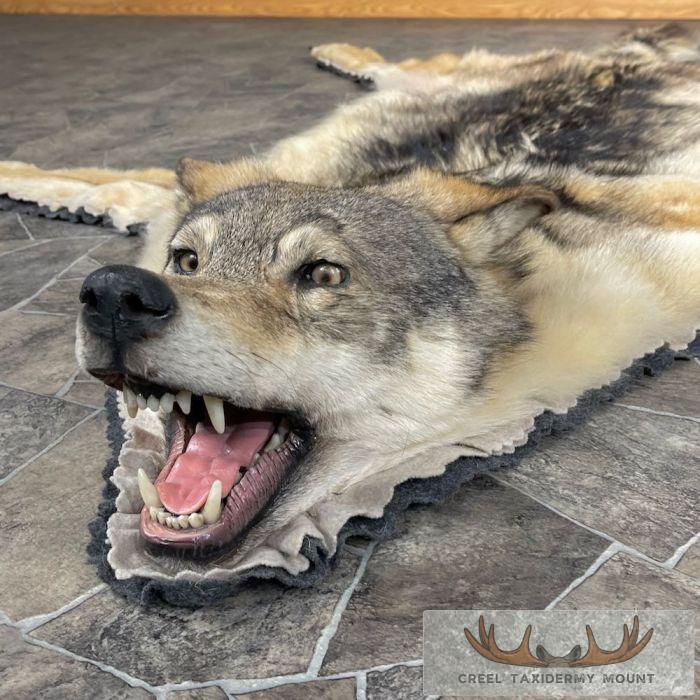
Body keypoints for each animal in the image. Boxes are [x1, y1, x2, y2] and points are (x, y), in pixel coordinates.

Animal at [1, 24, 698, 590]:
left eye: (324, 274)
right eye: (187, 261)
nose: (114, 293)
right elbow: (106, 181)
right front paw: (18, 171)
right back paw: (337, 48)